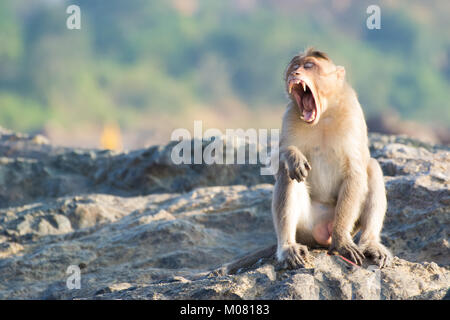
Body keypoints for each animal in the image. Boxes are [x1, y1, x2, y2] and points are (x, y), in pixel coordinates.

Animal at [214, 47, 390, 276]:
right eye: (294, 66)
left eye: (309, 66)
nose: (295, 74)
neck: (323, 114)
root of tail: (321, 234)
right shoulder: (290, 114)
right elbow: (277, 157)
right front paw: (292, 156)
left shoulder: (354, 113)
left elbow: (356, 171)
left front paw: (342, 241)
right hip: (305, 226)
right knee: (288, 175)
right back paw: (288, 247)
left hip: (346, 224)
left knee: (372, 167)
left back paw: (369, 243)